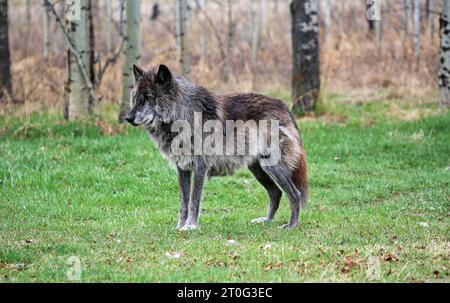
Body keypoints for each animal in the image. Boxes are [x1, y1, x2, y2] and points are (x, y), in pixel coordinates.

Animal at [126, 64, 310, 230]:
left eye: (148, 97)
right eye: (135, 98)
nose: (128, 118)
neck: (182, 115)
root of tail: (285, 107)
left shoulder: (200, 167)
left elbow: (194, 201)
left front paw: (190, 226)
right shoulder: (182, 169)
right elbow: (183, 203)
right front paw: (179, 227)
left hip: (272, 168)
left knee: (295, 194)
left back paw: (292, 225)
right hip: (258, 169)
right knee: (276, 193)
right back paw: (266, 221)